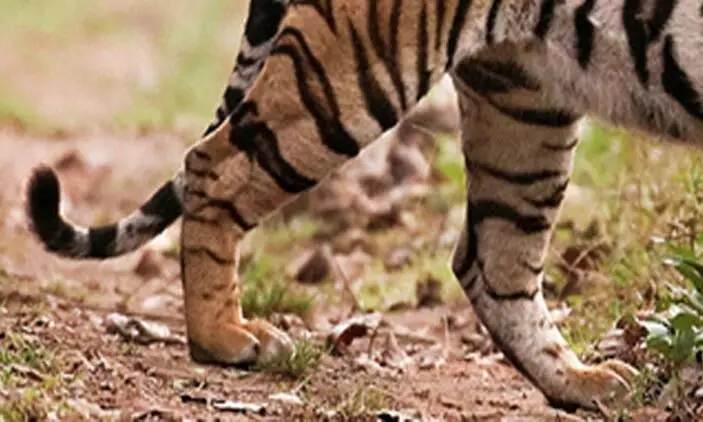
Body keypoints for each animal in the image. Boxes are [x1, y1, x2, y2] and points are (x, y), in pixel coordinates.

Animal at [26, 0, 703, 410]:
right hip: (356, 66)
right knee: (214, 166)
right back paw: (226, 338)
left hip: (525, 100)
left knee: (490, 258)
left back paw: (580, 383)